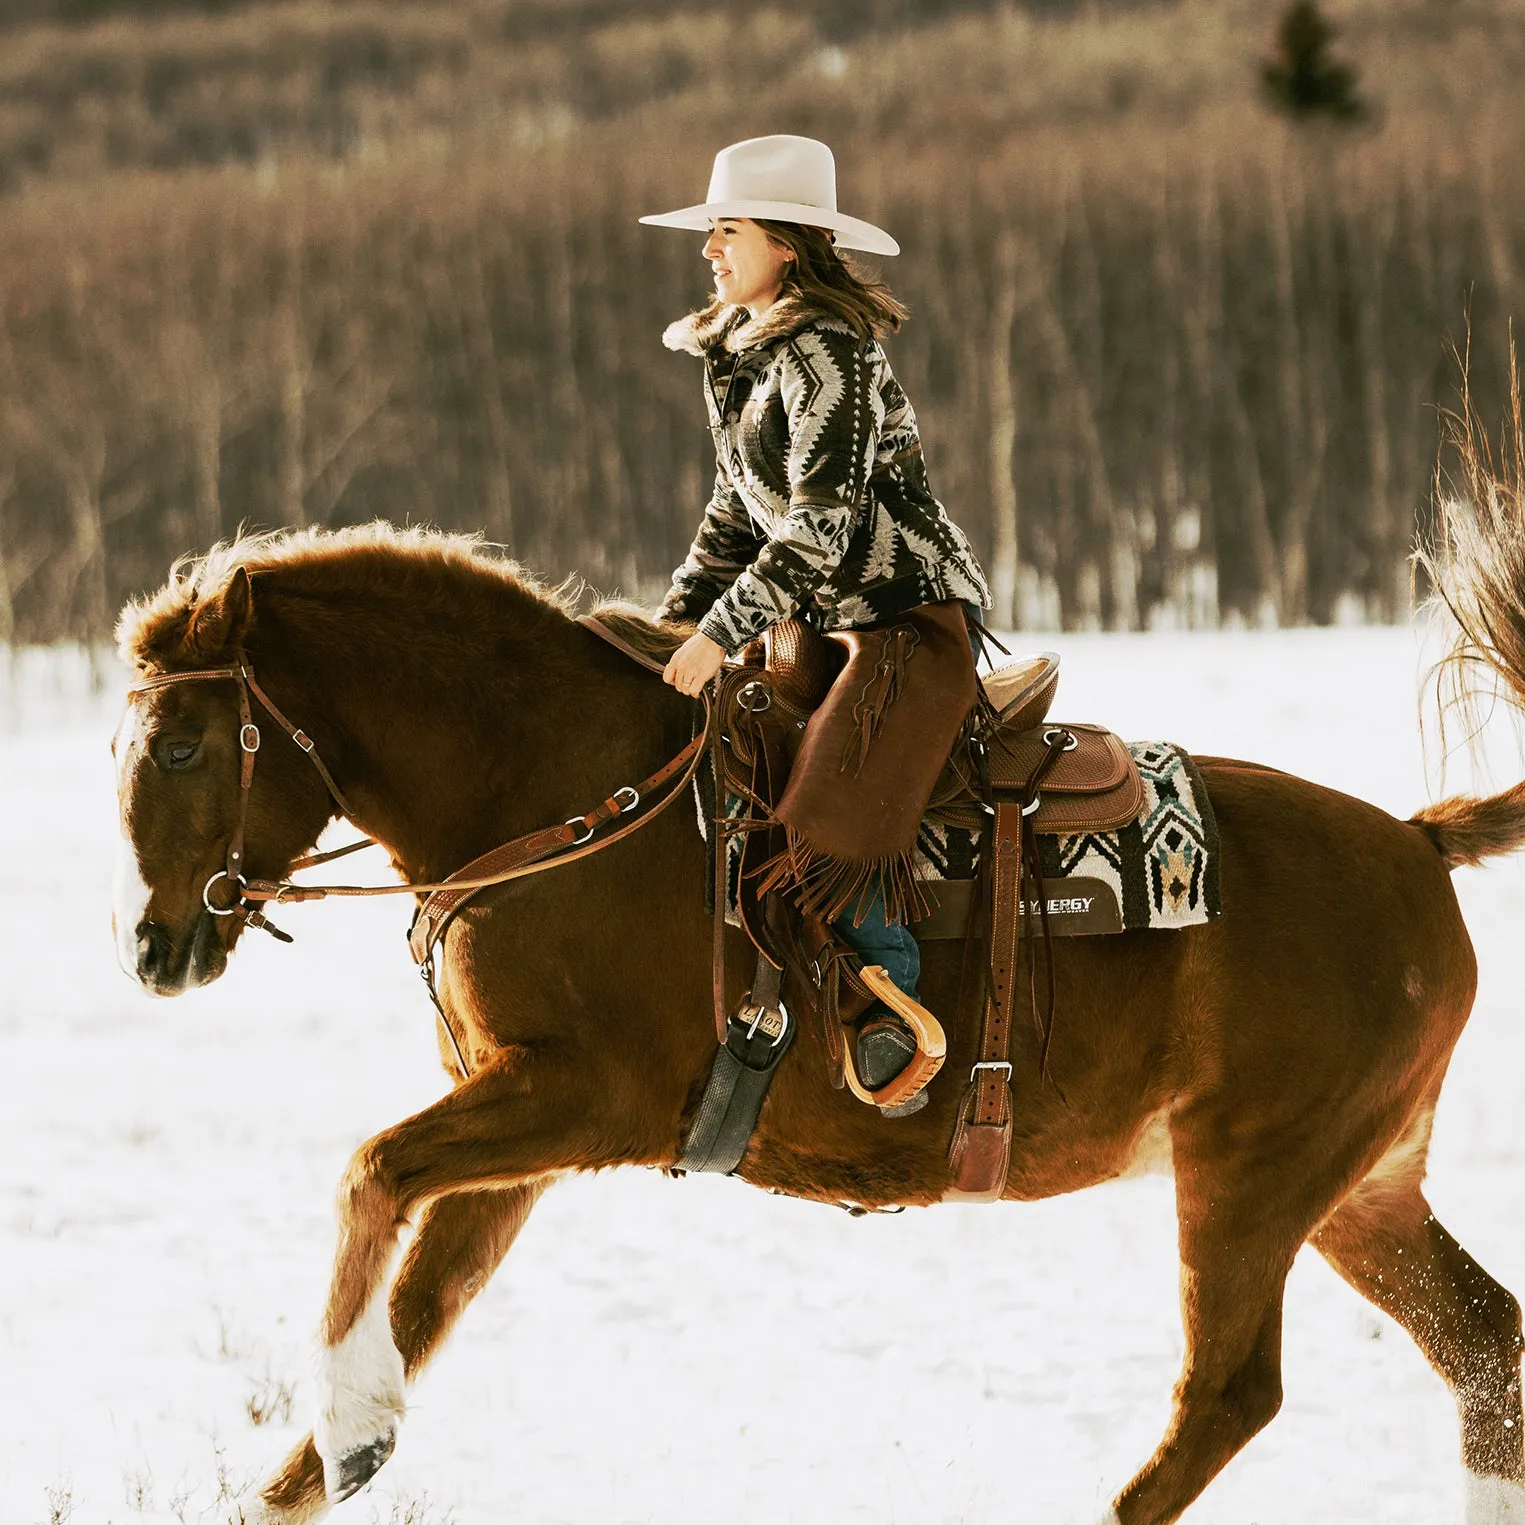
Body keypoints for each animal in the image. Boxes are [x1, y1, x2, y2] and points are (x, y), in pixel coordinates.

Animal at [118, 524, 1525, 1525]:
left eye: (183, 745)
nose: (152, 946)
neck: (560, 792)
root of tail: (1416, 842)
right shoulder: (513, 1146)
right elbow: (415, 1296)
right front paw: (335, 1447)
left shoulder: (583, 1099)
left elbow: (368, 1171)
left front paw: (353, 1422)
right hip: (1357, 1191)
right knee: (1485, 1358)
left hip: (1248, 1180)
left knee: (1225, 1399)